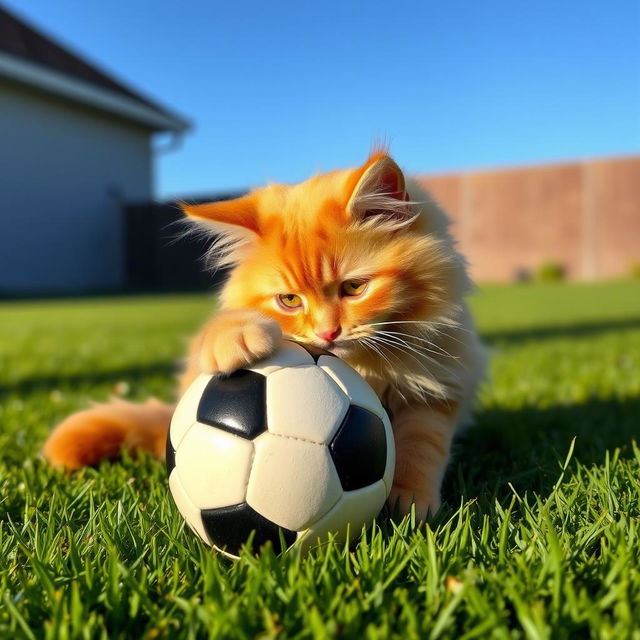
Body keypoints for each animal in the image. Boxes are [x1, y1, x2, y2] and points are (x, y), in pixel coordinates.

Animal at [45, 154, 484, 520]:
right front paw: (238, 339)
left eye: (354, 288)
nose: (327, 332)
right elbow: (219, 330)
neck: (364, 367)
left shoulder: (438, 390)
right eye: (289, 300)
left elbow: (420, 451)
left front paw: (410, 502)